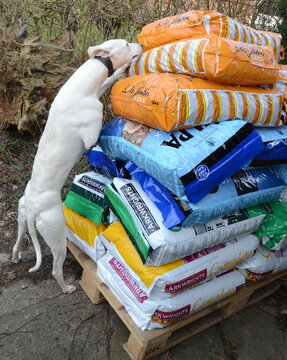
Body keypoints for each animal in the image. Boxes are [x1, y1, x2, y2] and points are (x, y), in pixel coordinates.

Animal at [12, 38, 143, 292]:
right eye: (125, 43)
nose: (140, 44)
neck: (82, 88)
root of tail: (33, 208)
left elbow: (107, 81)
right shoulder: (92, 137)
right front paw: (122, 69)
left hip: (22, 220)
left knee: (16, 243)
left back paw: (15, 257)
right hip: (56, 235)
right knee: (55, 269)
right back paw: (66, 287)